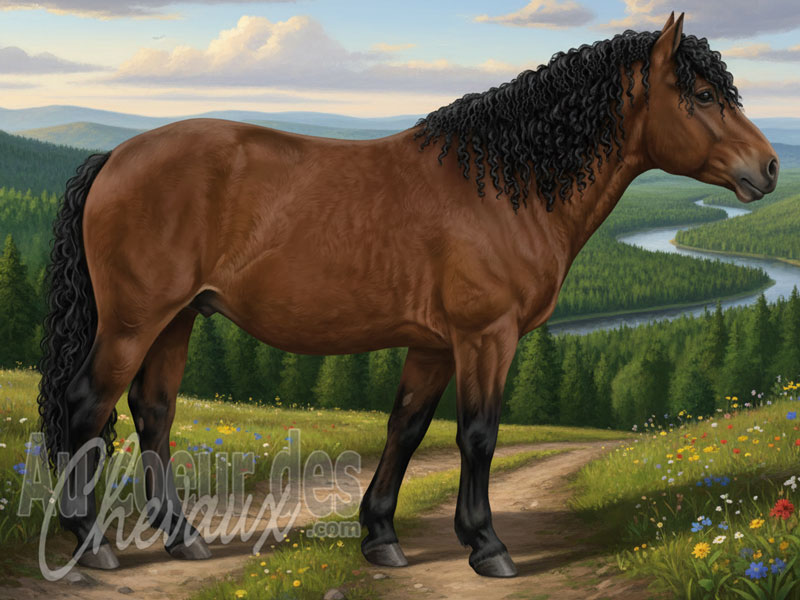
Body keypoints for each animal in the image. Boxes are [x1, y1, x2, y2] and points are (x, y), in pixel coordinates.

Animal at [38, 12, 778, 578]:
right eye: (702, 93)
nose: (769, 168)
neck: (503, 184)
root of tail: (116, 156)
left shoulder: (433, 346)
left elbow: (407, 429)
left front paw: (381, 537)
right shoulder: (486, 337)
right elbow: (478, 435)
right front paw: (487, 547)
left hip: (176, 319)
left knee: (154, 413)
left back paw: (182, 537)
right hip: (134, 322)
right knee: (86, 406)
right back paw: (90, 544)